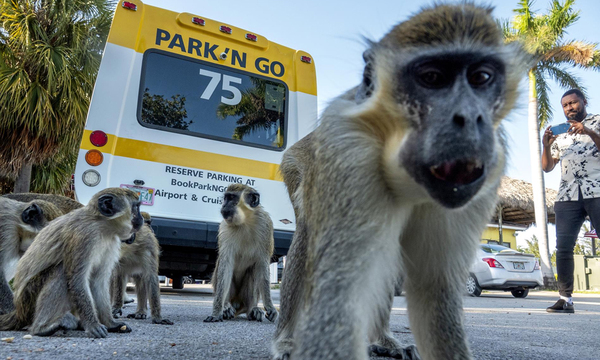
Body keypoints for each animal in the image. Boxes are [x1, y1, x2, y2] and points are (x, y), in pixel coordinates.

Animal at [0, 188, 143, 338]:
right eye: (136, 207)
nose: (142, 219)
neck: (102, 227)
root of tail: (19, 311)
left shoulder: (112, 242)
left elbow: (98, 281)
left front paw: (111, 324)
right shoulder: (84, 236)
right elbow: (77, 280)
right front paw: (92, 325)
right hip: (28, 299)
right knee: (61, 271)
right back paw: (42, 327)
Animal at [202, 184, 276, 322]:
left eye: (231, 198)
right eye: (225, 198)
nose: (224, 205)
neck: (245, 221)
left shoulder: (265, 225)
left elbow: (262, 265)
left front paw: (270, 306)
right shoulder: (225, 228)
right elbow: (225, 265)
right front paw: (217, 311)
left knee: (254, 269)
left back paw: (252, 309)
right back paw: (226, 307)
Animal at [272, 3, 524, 360]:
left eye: (481, 78)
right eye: (432, 78)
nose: (469, 118)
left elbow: (436, 292)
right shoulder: (349, 155)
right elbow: (338, 297)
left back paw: (382, 339)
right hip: (297, 167)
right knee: (307, 235)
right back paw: (286, 339)